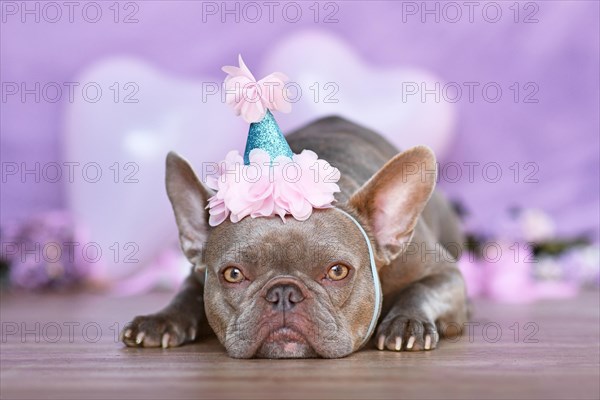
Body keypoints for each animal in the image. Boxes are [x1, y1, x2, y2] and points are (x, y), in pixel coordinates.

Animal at [122, 116, 468, 360]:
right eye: (233, 274)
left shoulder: (445, 274)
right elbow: (186, 295)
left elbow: (423, 289)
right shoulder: (198, 275)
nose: (283, 293)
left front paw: (407, 322)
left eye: (337, 271)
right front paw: (161, 319)